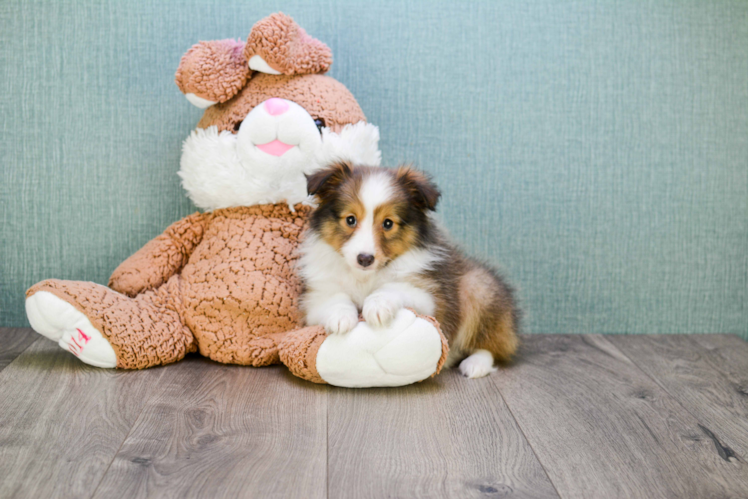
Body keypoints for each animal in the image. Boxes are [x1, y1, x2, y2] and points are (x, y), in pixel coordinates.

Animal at [298, 162, 520, 376]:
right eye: (350, 219)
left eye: (388, 223)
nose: (365, 259)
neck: (365, 277)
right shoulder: (314, 300)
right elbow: (335, 298)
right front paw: (340, 317)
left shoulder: (430, 298)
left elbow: (392, 287)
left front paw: (377, 306)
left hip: (478, 287)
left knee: (492, 347)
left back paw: (475, 365)